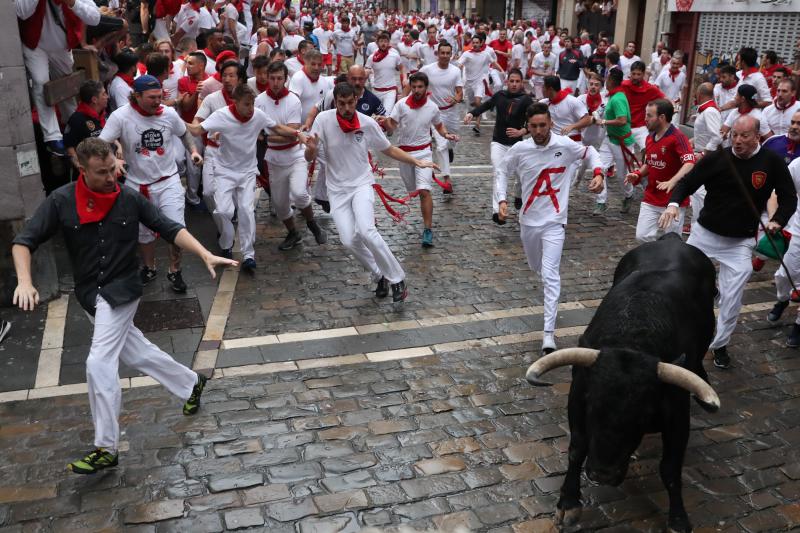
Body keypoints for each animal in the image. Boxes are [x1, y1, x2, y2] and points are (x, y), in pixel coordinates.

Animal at [528, 234, 720, 532]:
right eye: (593, 408)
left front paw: (678, 518)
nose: (602, 475)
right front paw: (569, 502)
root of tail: (673, 239)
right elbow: (577, 449)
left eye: (642, 416)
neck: (633, 336)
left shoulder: (678, 415)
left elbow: (671, 468)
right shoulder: (577, 398)